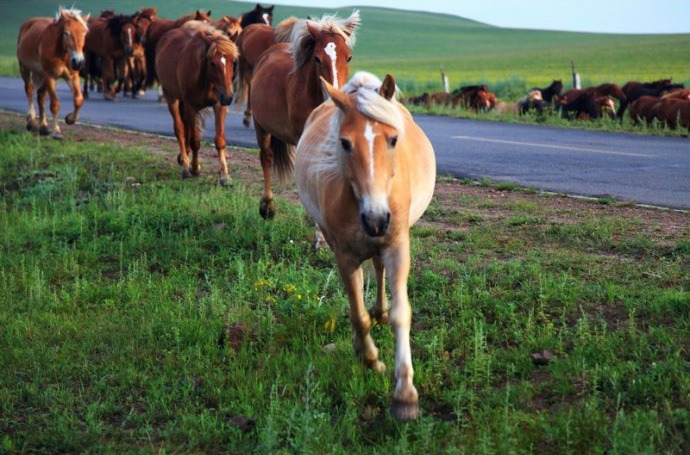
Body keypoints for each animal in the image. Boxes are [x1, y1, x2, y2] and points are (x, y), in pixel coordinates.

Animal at [17, 6, 89, 139]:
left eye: (84, 32)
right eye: (66, 33)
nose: (78, 62)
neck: (62, 54)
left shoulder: (72, 76)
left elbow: (78, 100)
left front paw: (70, 119)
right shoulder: (50, 77)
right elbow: (55, 105)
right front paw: (57, 132)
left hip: (40, 74)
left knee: (40, 96)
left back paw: (44, 127)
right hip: (25, 68)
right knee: (29, 91)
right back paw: (32, 121)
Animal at [156, 21, 236, 185]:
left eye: (233, 61)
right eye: (212, 63)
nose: (228, 97)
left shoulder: (219, 106)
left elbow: (220, 140)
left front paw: (224, 175)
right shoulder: (191, 107)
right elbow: (195, 141)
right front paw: (194, 168)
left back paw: (184, 157)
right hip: (171, 97)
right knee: (180, 129)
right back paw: (186, 166)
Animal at [296, 73, 436, 422]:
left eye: (393, 139)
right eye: (345, 143)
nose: (376, 219)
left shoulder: (398, 246)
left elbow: (401, 314)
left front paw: (405, 396)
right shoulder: (345, 256)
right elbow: (357, 314)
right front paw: (371, 359)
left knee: (378, 268)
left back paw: (380, 312)